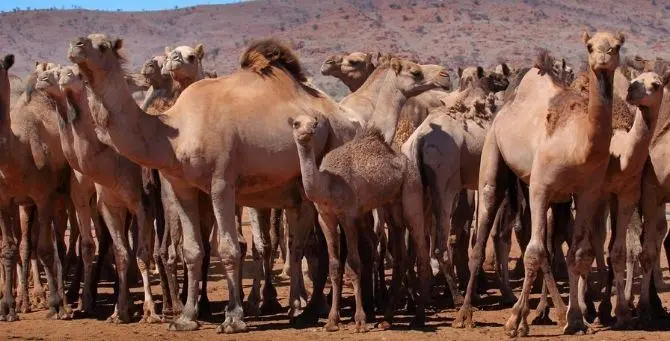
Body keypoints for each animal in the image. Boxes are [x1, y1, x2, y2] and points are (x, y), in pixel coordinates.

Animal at [454, 31, 628, 334]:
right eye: (590, 46)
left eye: (616, 47)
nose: (602, 58)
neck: (579, 143)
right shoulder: (541, 188)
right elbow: (534, 252)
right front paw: (514, 321)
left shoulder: (587, 193)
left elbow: (577, 253)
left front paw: (576, 319)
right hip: (494, 156)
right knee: (484, 232)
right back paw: (466, 314)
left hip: (537, 189)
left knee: (543, 243)